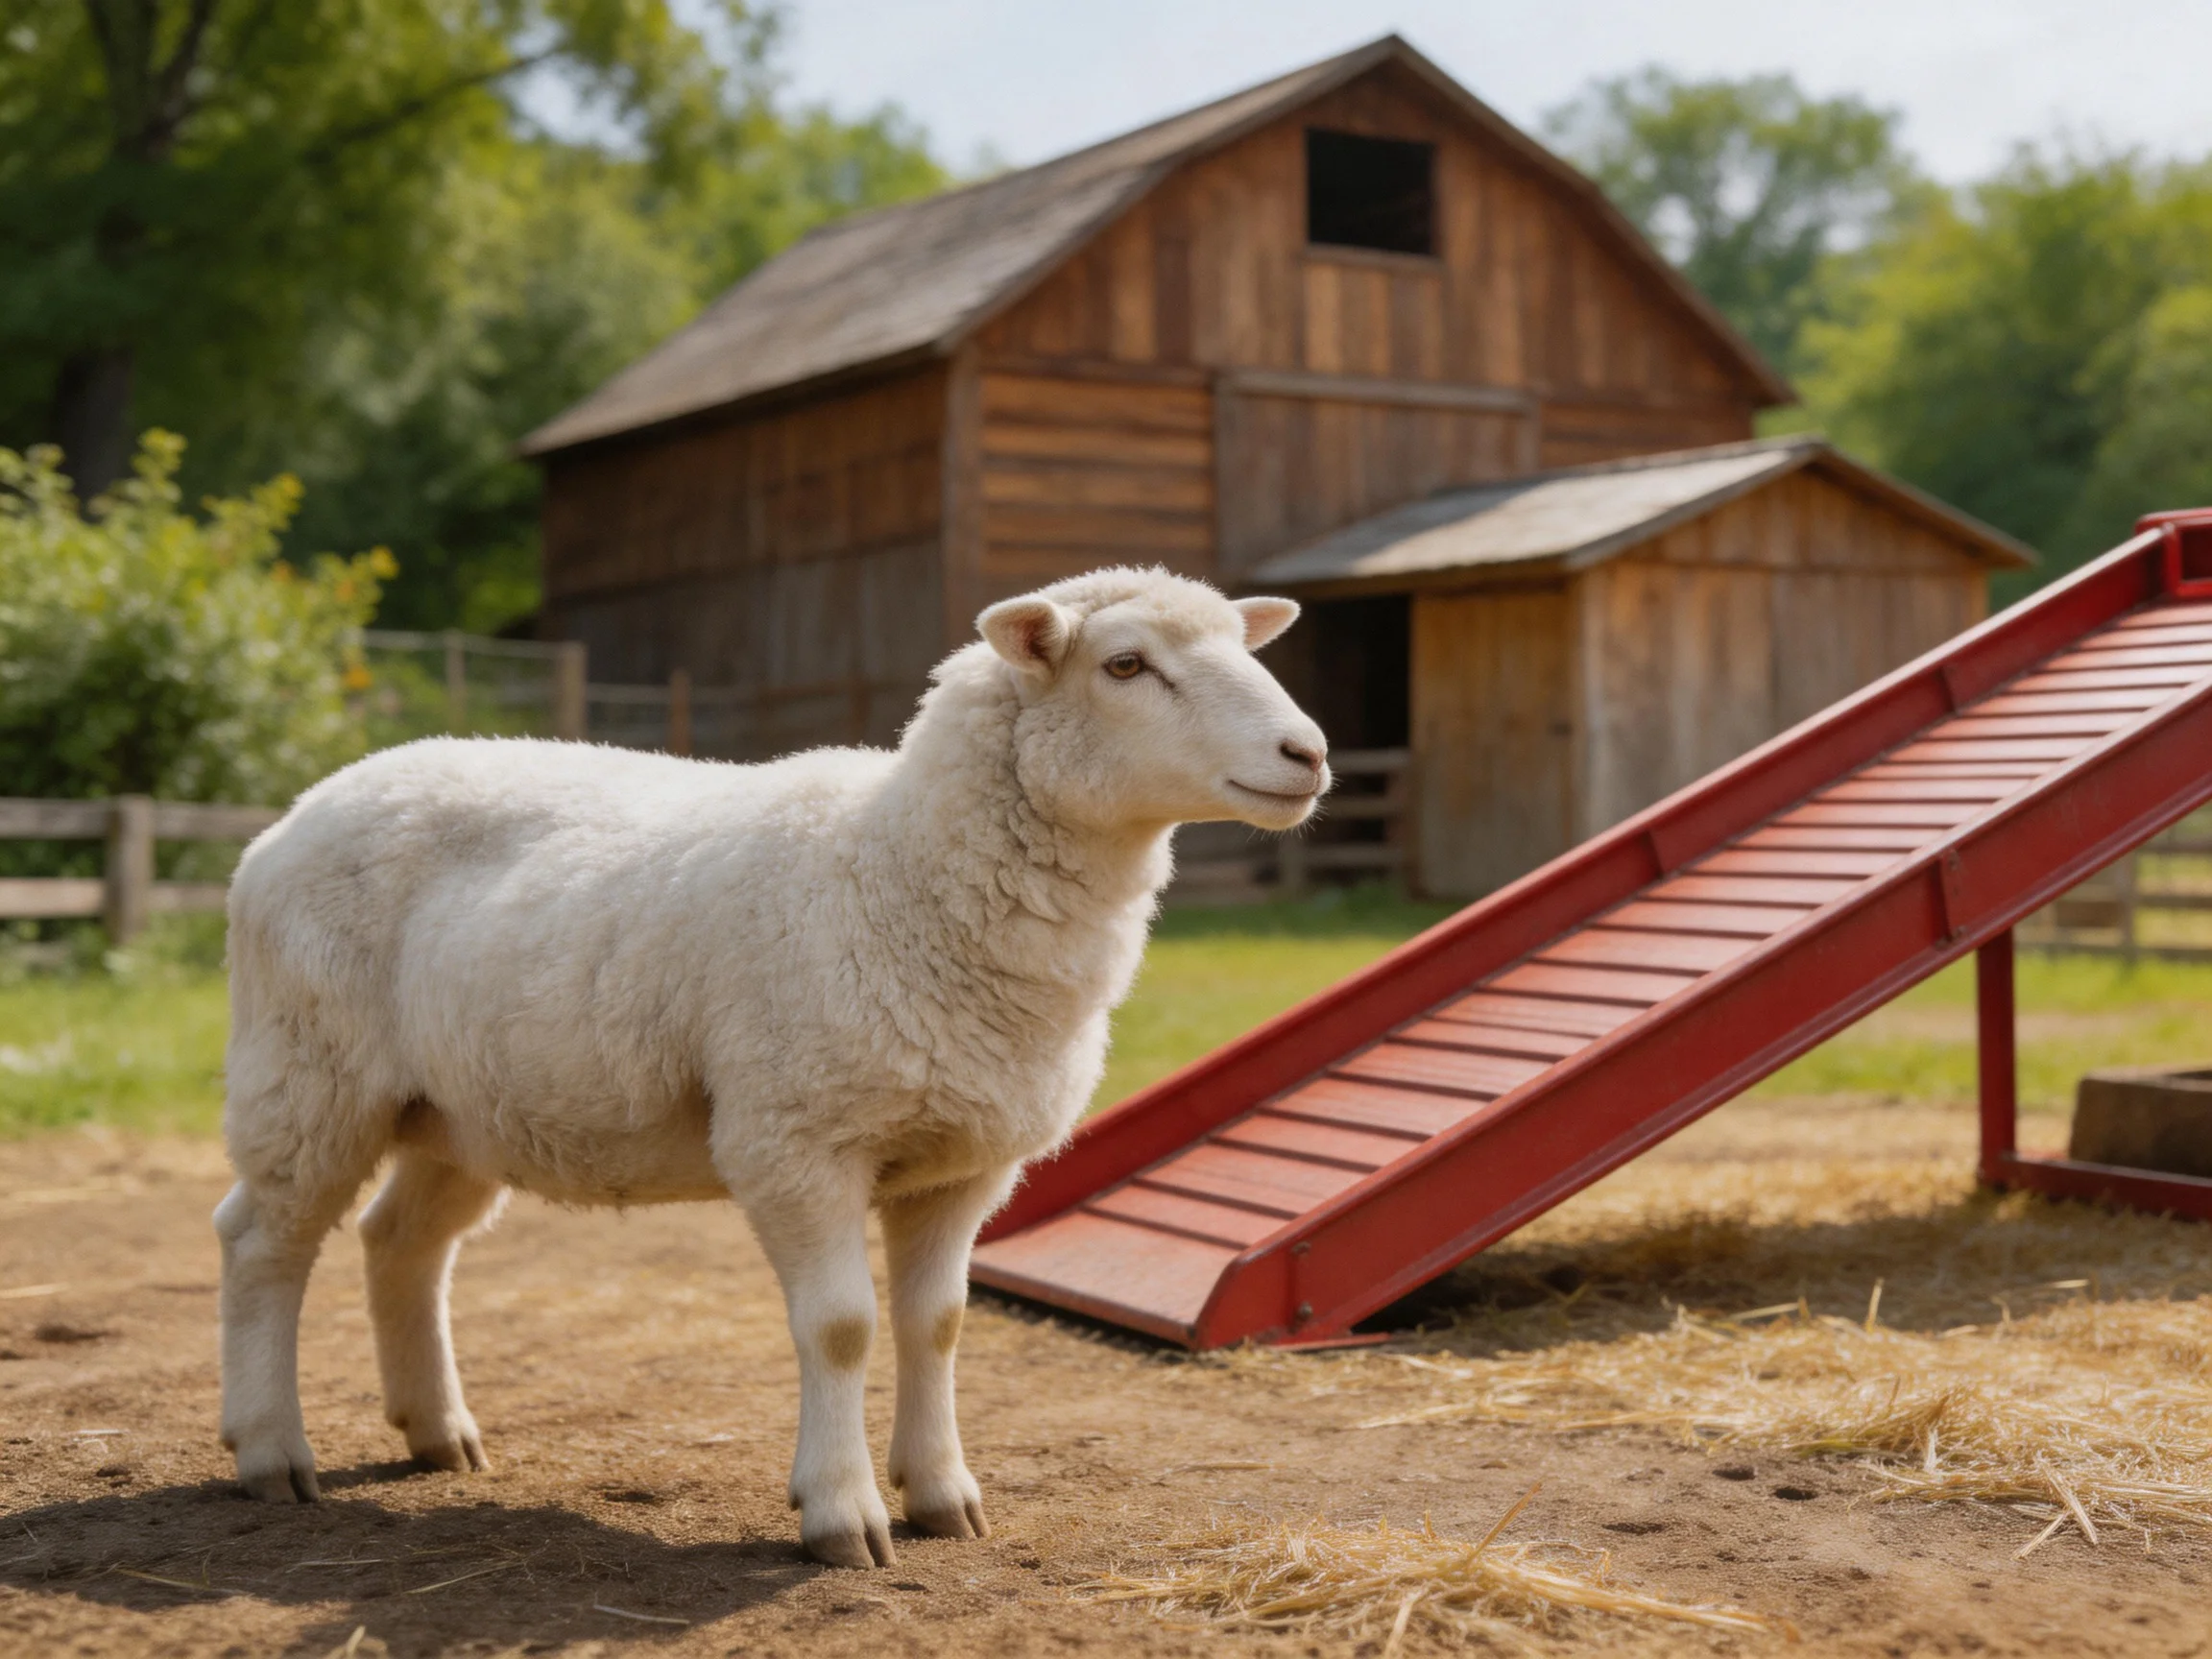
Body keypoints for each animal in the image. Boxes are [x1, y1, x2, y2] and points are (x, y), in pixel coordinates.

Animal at [214, 565, 1329, 1567]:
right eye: (1126, 664)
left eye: (1242, 647)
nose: (1309, 753)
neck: (896, 868)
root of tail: (296, 812)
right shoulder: (796, 1138)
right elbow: (841, 1328)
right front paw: (842, 1516)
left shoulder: (964, 1161)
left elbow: (938, 1325)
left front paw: (941, 1495)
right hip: (306, 1074)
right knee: (262, 1244)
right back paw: (270, 1451)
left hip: (458, 1107)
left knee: (401, 1241)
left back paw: (437, 1433)